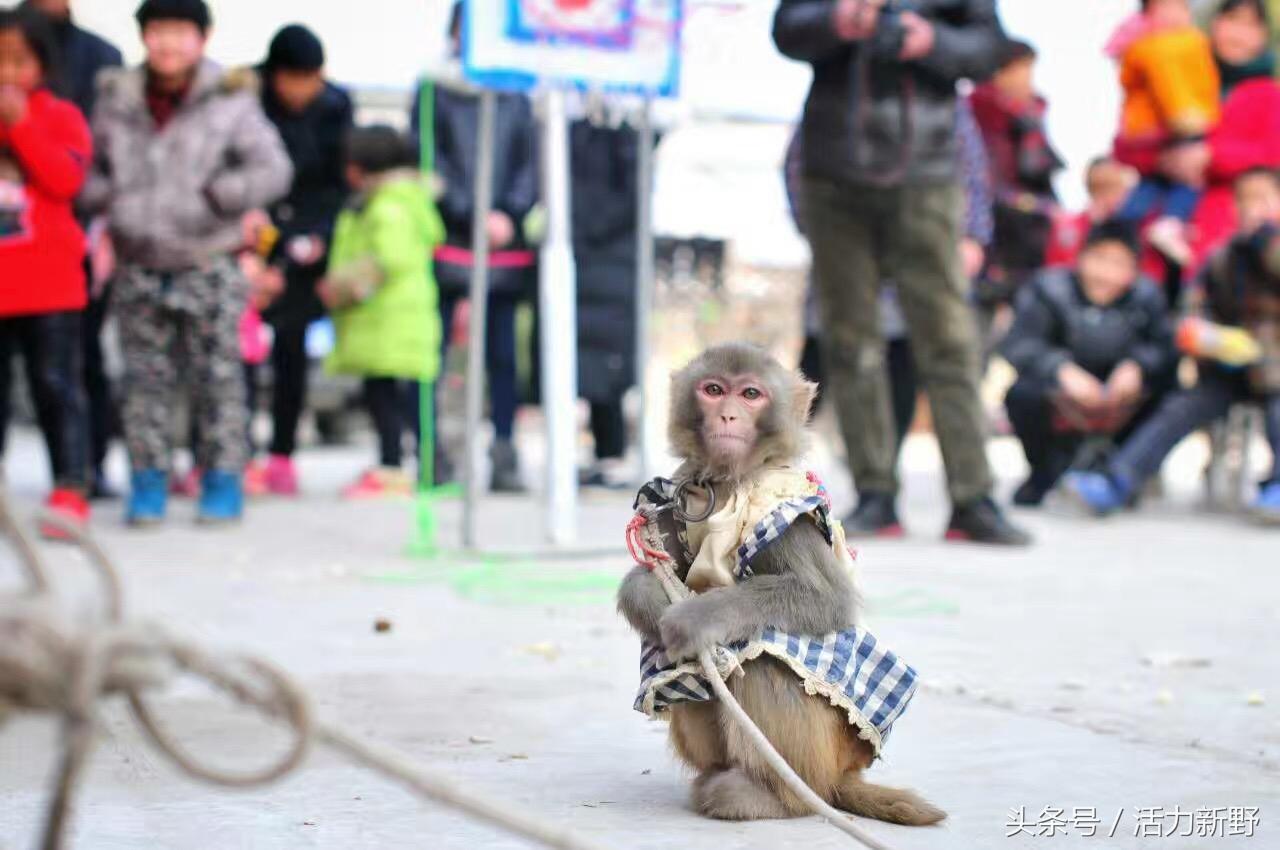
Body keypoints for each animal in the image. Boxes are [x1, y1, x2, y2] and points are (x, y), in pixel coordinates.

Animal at [614, 343, 947, 824]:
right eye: (713, 390)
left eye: (750, 394)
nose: (728, 415)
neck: (731, 479)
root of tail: (840, 775)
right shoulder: (681, 494)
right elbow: (662, 570)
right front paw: (651, 598)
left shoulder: (785, 511)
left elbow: (825, 599)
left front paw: (694, 618)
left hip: (831, 747)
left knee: (767, 655)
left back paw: (775, 797)